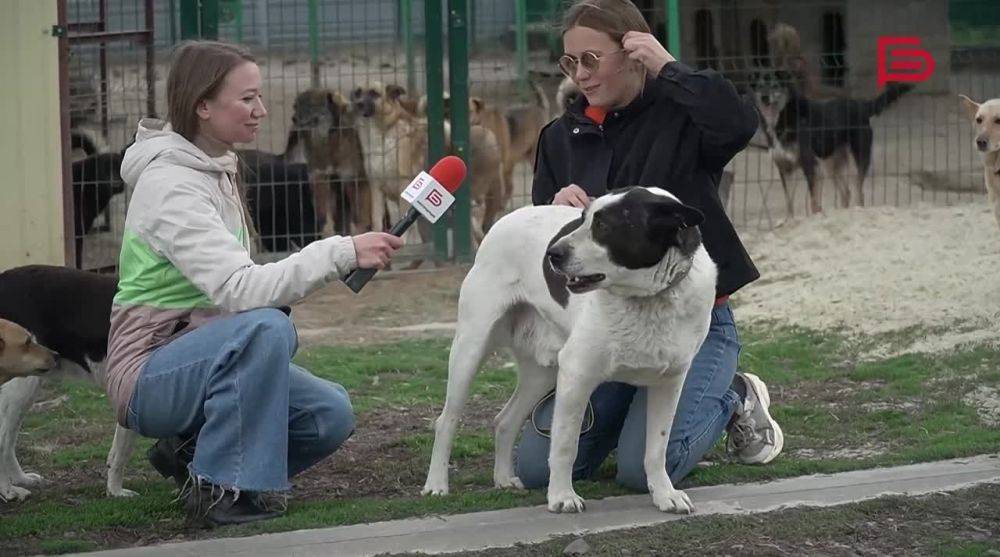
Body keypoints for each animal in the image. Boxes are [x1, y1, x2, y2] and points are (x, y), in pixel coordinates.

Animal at [0, 264, 138, 500]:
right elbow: (121, 452)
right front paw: (116, 491)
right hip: (17, 387)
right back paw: (8, 491)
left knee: (9, 440)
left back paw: (21, 479)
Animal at [422, 187, 720, 512]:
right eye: (583, 217)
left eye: (603, 225)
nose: (552, 253)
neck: (647, 300)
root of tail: (504, 219)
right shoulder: (577, 375)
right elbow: (566, 445)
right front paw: (562, 496)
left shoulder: (669, 383)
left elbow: (657, 447)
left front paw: (665, 494)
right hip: (471, 348)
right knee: (446, 421)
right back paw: (436, 484)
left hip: (542, 373)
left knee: (505, 421)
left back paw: (503, 478)